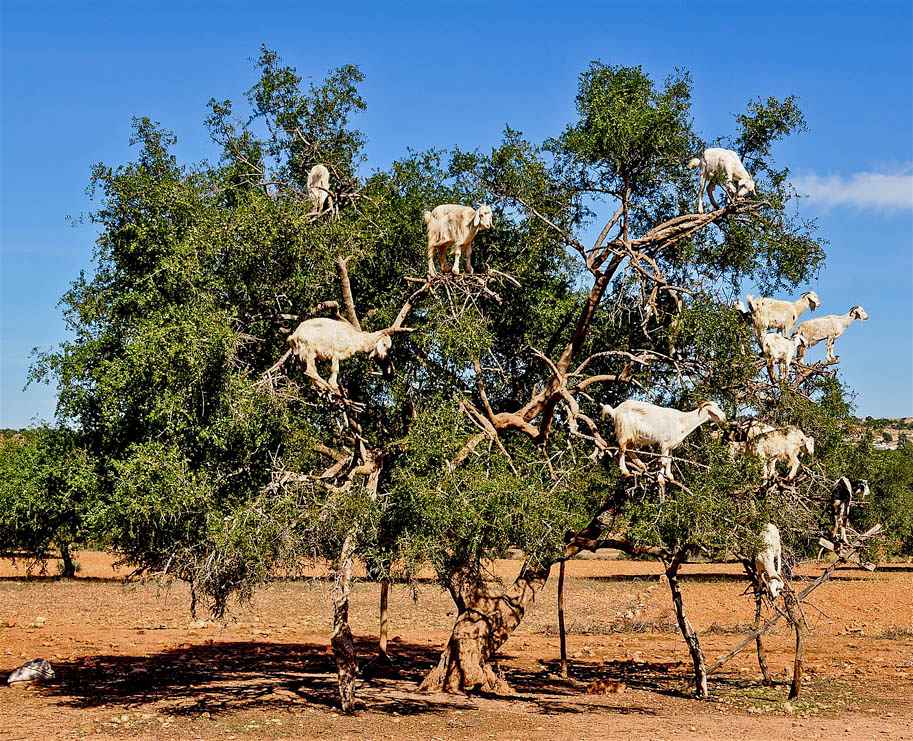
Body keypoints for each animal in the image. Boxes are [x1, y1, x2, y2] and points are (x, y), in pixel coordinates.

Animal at [600, 398, 728, 480]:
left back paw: (642, 465)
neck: (682, 421)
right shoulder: (665, 444)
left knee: (630, 450)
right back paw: (625, 471)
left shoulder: (671, 445)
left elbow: (669, 459)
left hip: (633, 436)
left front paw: (669, 475)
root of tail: (615, 410)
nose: (724, 418)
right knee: (622, 450)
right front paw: (661, 477)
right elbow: (663, 460)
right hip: (624, 431)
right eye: (714, 409)